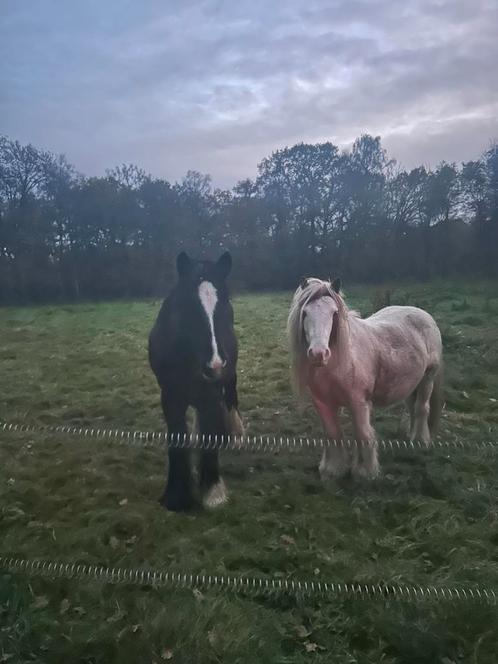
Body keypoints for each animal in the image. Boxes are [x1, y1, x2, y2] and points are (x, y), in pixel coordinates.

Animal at [148, 252, 243, 510]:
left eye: (226, 305)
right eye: (188, 306)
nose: (215, 365)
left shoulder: (210, 391)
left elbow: (209, 431)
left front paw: (213, 490)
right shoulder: (169, 396)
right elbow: (177, 436)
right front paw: (175, 495)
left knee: (230, 397)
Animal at [288, 278, 444, 480]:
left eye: (334, 313)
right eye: (305, 313)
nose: (318, 354)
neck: (341, 360)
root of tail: (424, 315)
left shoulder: (358, 402)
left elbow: (363, 433)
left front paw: (365, 471)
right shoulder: (322, 403)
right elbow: (332, 433)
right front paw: (333, 470)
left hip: (428, 377)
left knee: (421, 408)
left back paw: (420, 440)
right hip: (411, 384)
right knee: (412, 406)